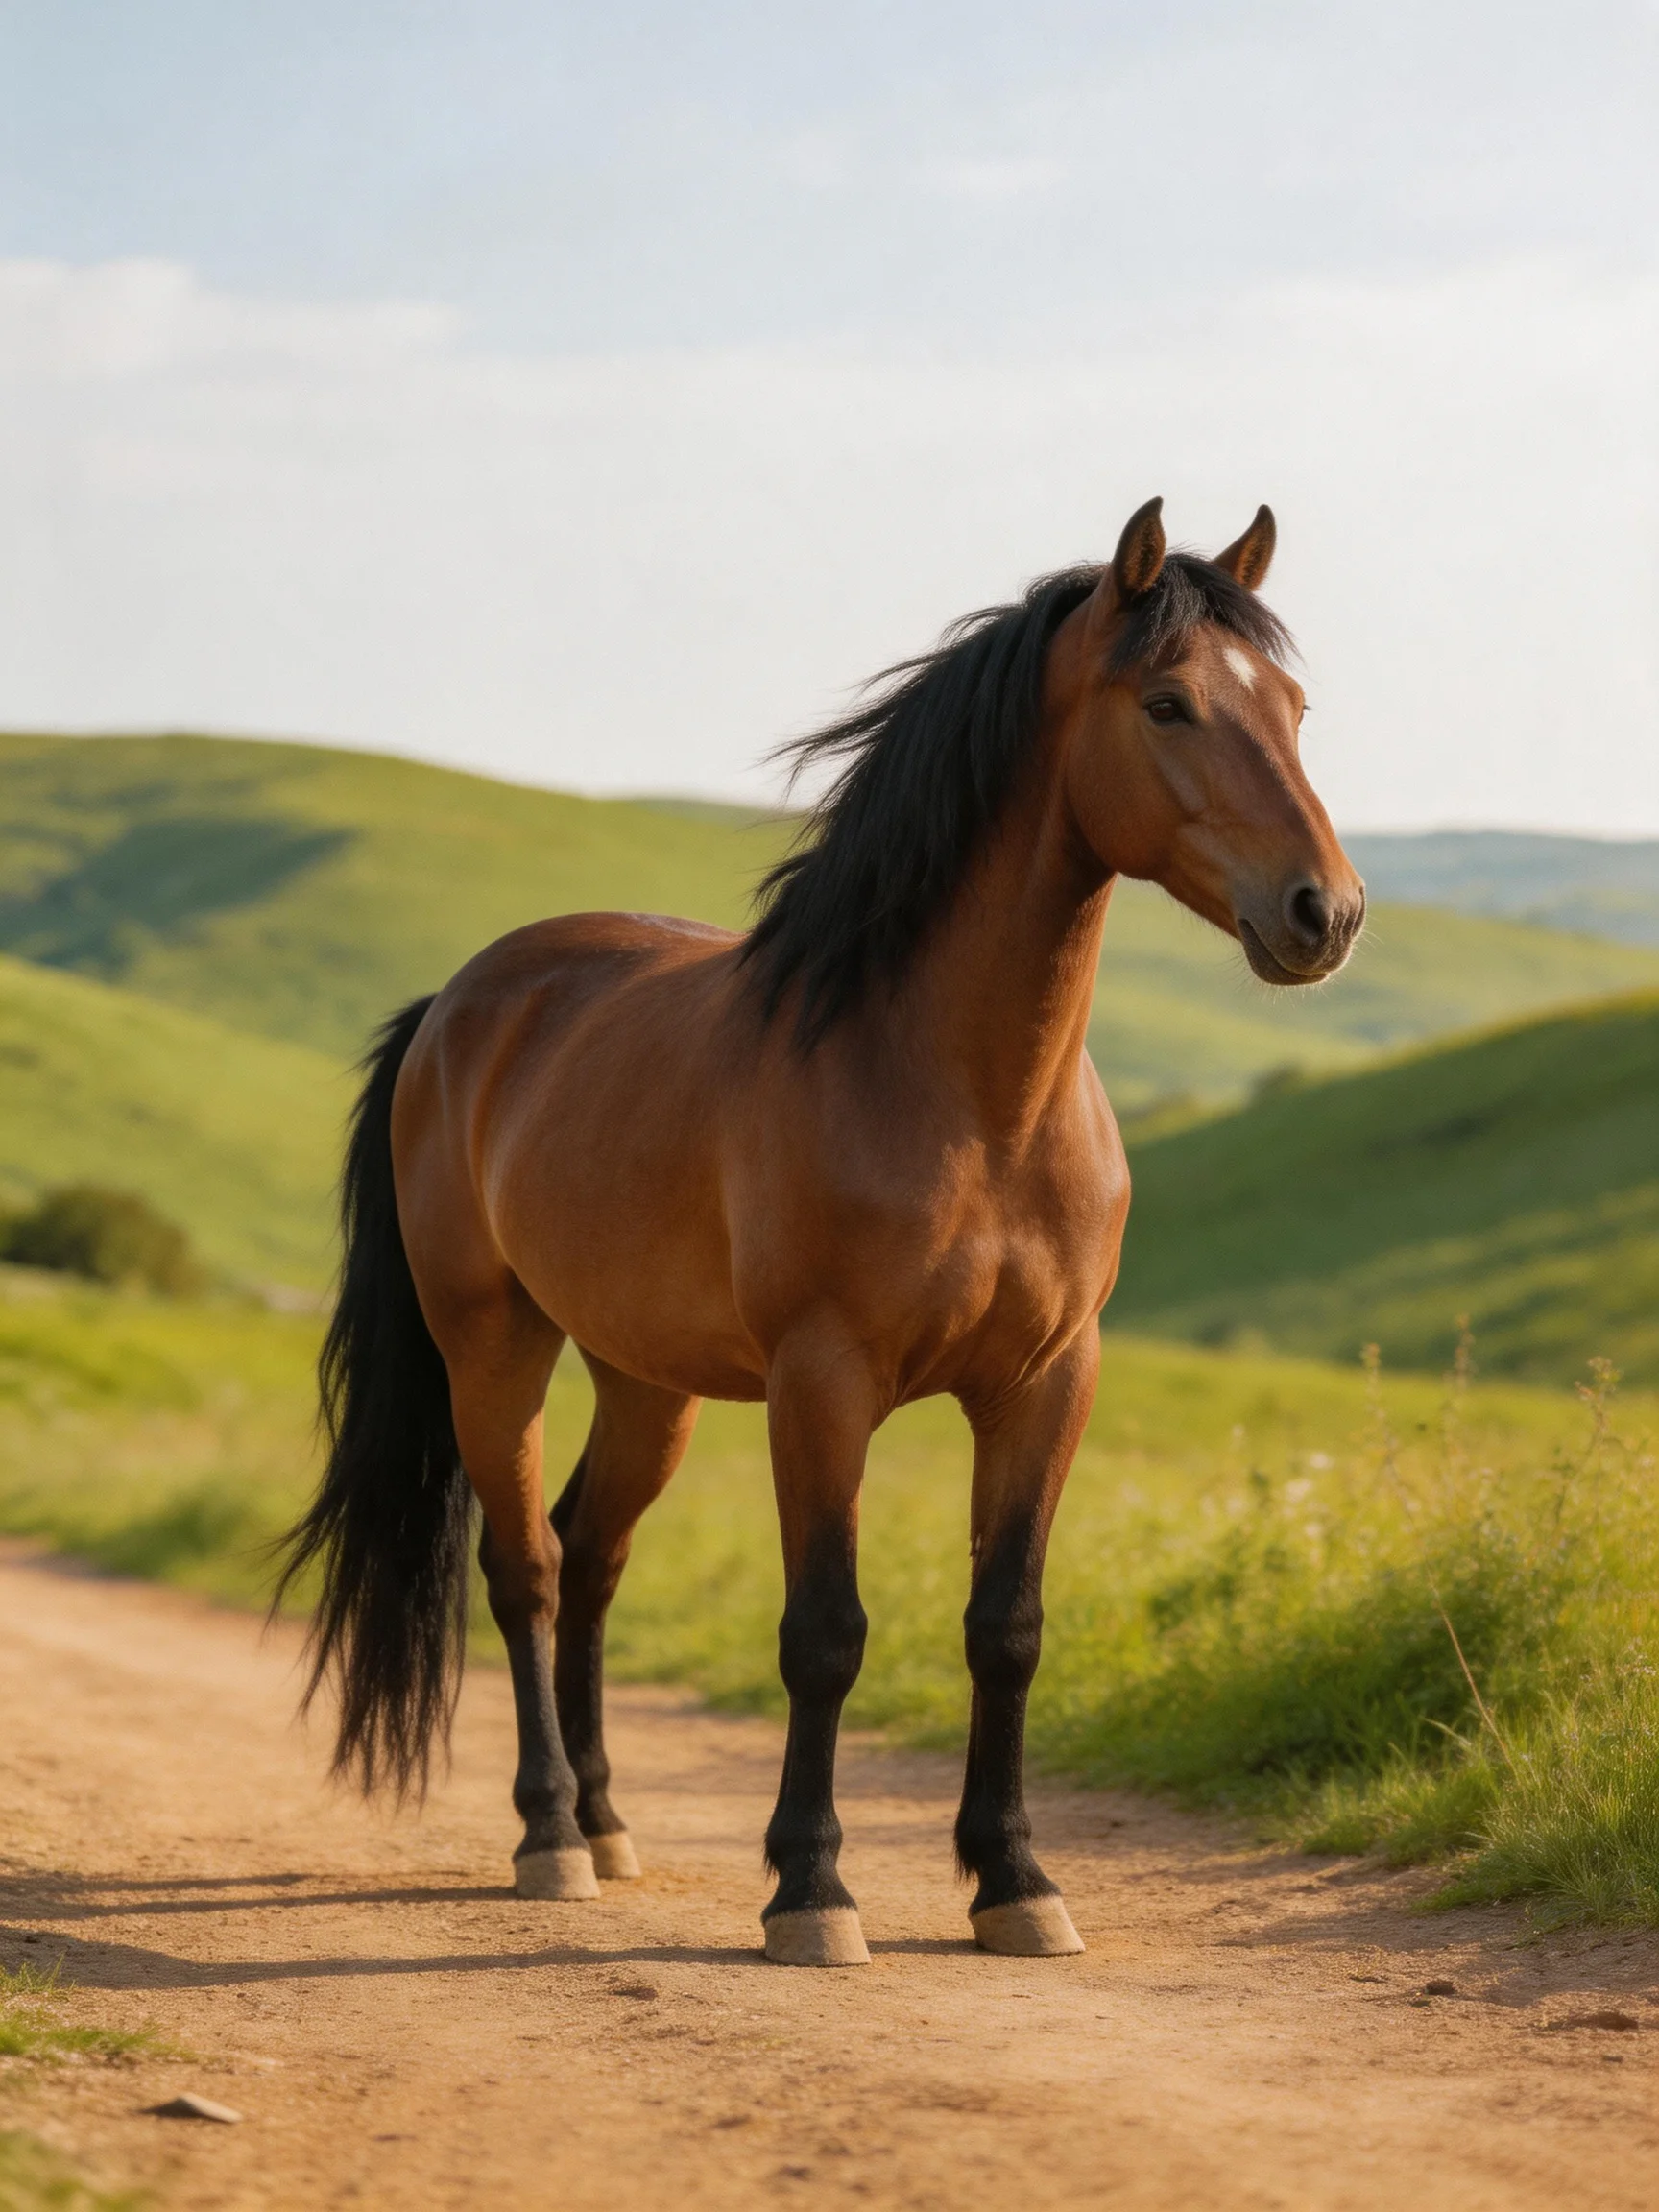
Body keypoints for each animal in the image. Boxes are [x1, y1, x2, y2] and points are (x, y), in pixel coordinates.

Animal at [277, 497, 1364, 1967]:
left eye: (1295, 707)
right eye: (1170, 702)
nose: (1327, 913)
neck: (965, 1097)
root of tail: (461, 1002)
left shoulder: (1047, 1384)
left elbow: (1006, 1627)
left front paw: (1015, 1879)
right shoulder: (823, 1383)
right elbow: (826, 1633)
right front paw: (812, 1887)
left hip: (647, 1381)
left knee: (596, 1556)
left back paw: (610, 1826)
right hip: (494, 1350)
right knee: (529, 1569)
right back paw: (552, 1836)